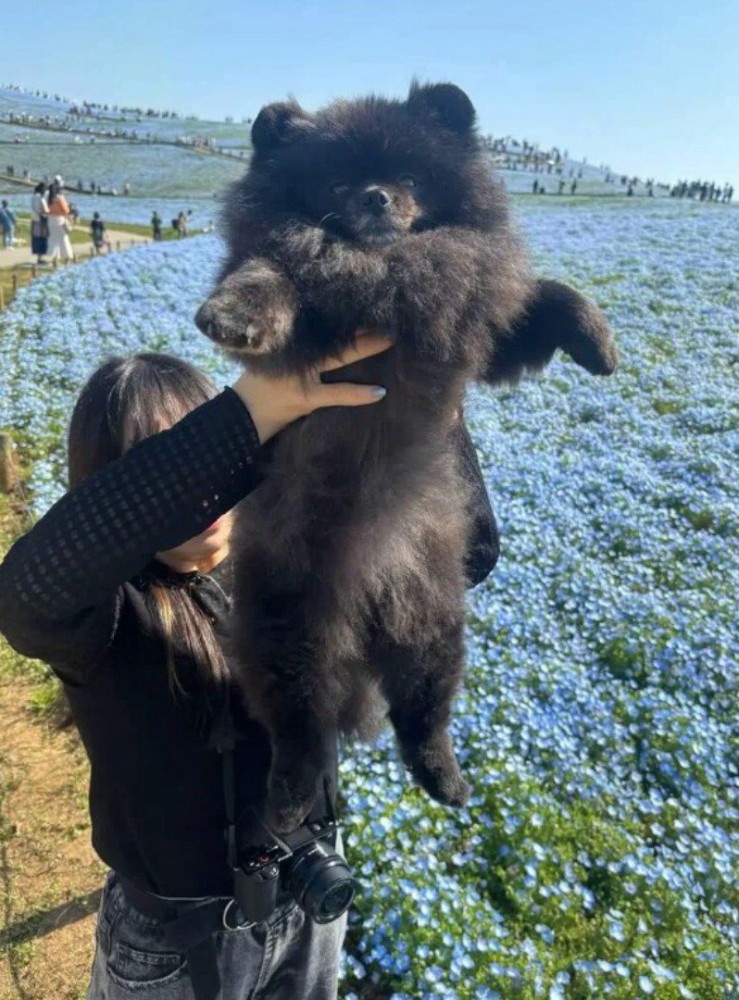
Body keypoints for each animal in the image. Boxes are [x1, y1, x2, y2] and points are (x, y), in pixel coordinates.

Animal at [195, 81, 617, 833]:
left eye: (410, 178)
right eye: (337, 182)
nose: (375, 196)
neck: (386, 274)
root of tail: (368, 605)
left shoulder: (473, 319)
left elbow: (542, 296)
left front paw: (596, 339)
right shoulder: (305, 305)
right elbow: (270, 270)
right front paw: (234, 311)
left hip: (435, 620)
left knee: (422, 709)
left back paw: (443, 777)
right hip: (285, 623)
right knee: (299, 726)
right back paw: (289, 796)